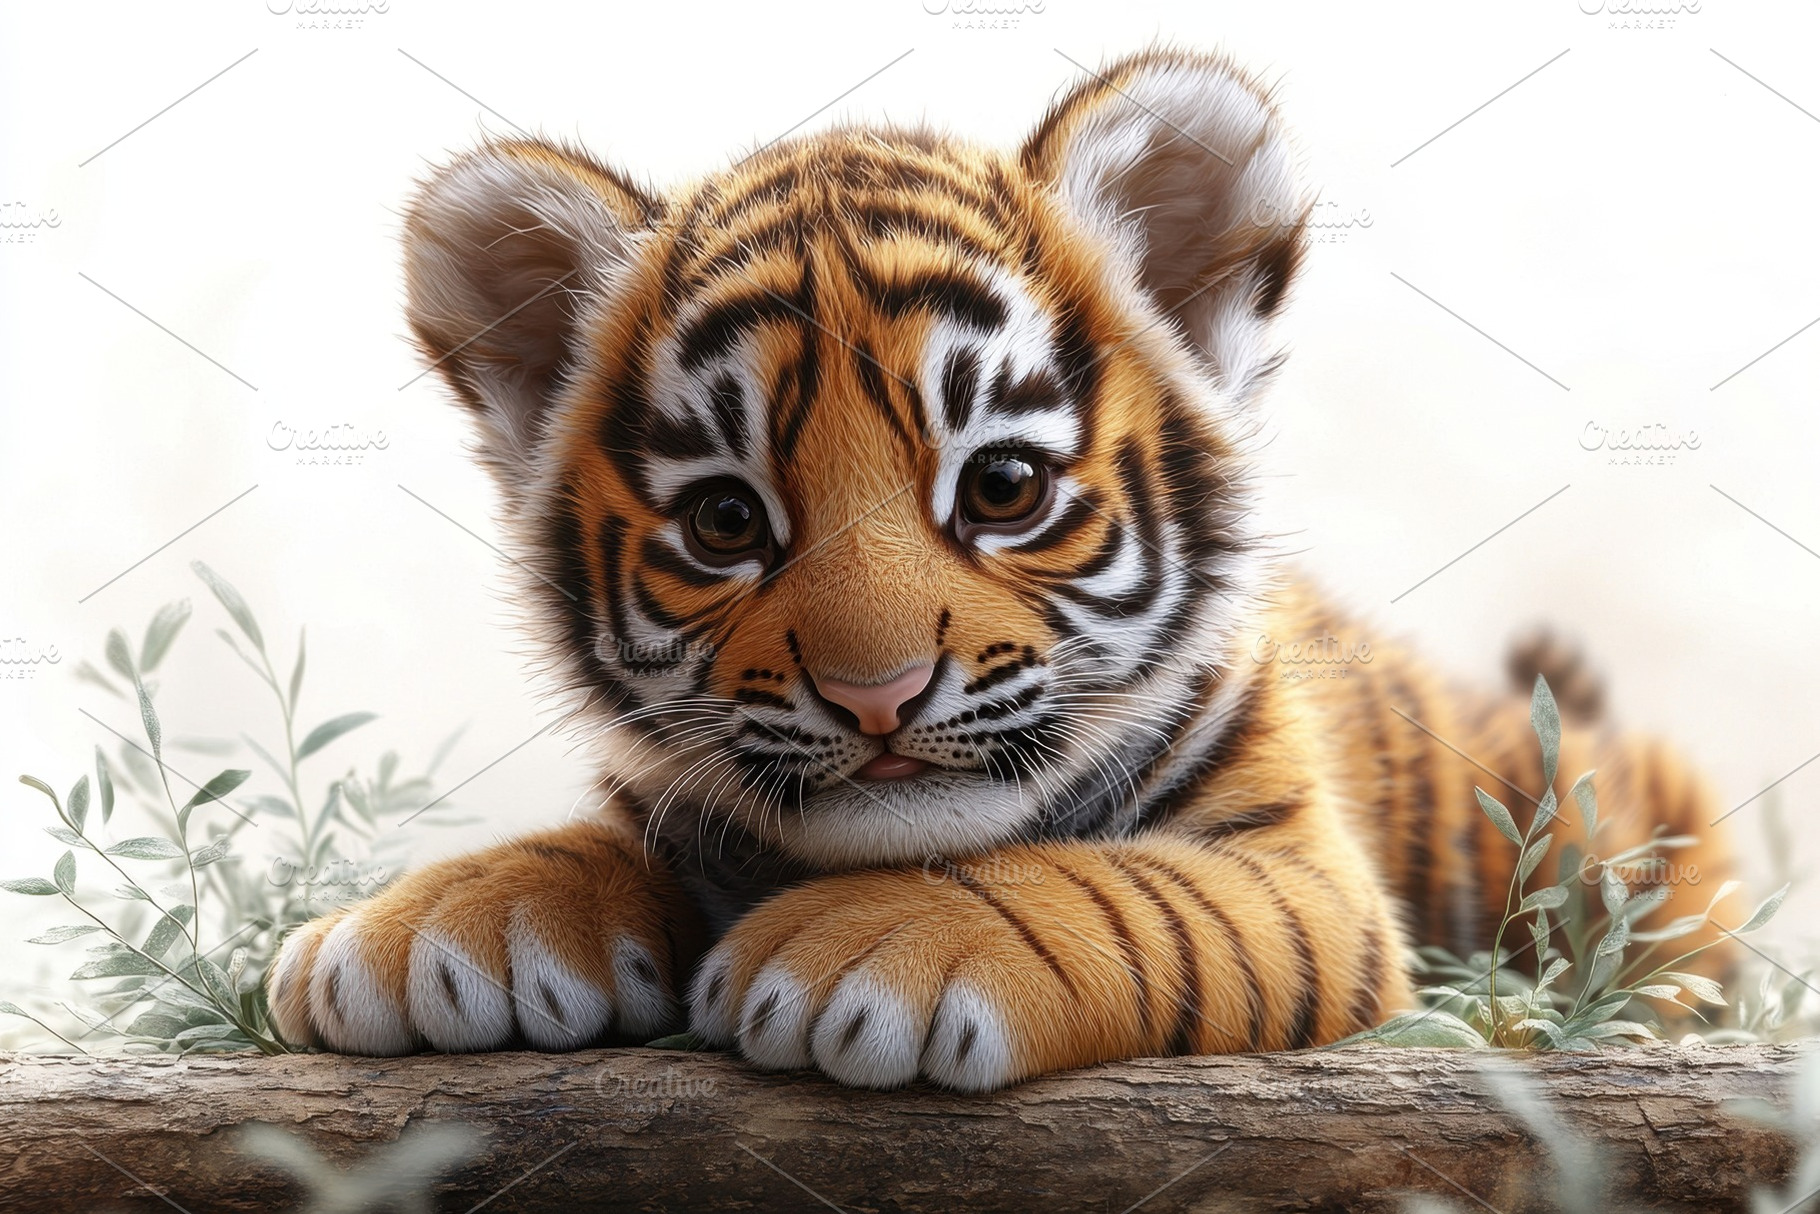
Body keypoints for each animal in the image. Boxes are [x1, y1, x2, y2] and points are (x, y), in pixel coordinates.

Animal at [265, 47, 1734, 1090]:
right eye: (726, 521)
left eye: (1003, 489)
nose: (874, 695)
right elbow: (592, 840)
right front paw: (423, 923)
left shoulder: (1305, 876)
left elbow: (1128, 886)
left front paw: (881, 944)